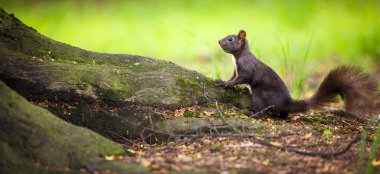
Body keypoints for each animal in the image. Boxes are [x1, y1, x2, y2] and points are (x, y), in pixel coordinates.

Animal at [215, 29, 378, 118]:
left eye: (230, 39)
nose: (218, 41)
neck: (237, 57)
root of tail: (286, 104)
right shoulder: (235, 69)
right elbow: (232, 77)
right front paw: (221, 81)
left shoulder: (247, 68)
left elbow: (242, 78)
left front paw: (227, 85)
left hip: (260, 96)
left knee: (265, 113)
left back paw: (250, 113)